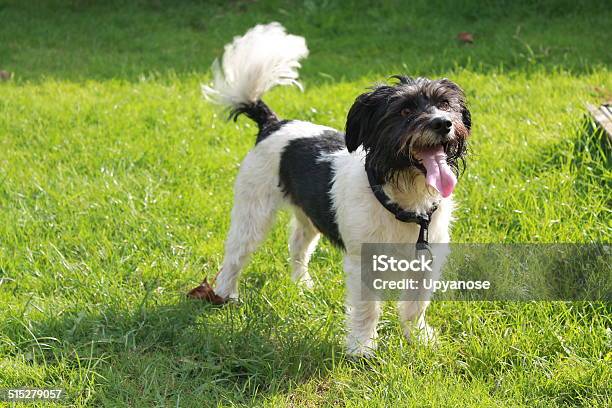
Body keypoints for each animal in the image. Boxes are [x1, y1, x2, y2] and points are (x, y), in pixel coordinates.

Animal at [189, 22, 470, 356]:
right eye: (403, 111)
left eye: (445, 104)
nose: (443, 123)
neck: (404, 200)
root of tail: (272, 123)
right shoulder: (363, 262)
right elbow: (367, 308)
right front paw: (362, 349)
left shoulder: (426, 258)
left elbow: (416, 304)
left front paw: (419, 338)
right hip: (252, 211)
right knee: (236, 254)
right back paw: (224, 295)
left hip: (308, 216)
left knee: (297, 245)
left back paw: (302, 285)